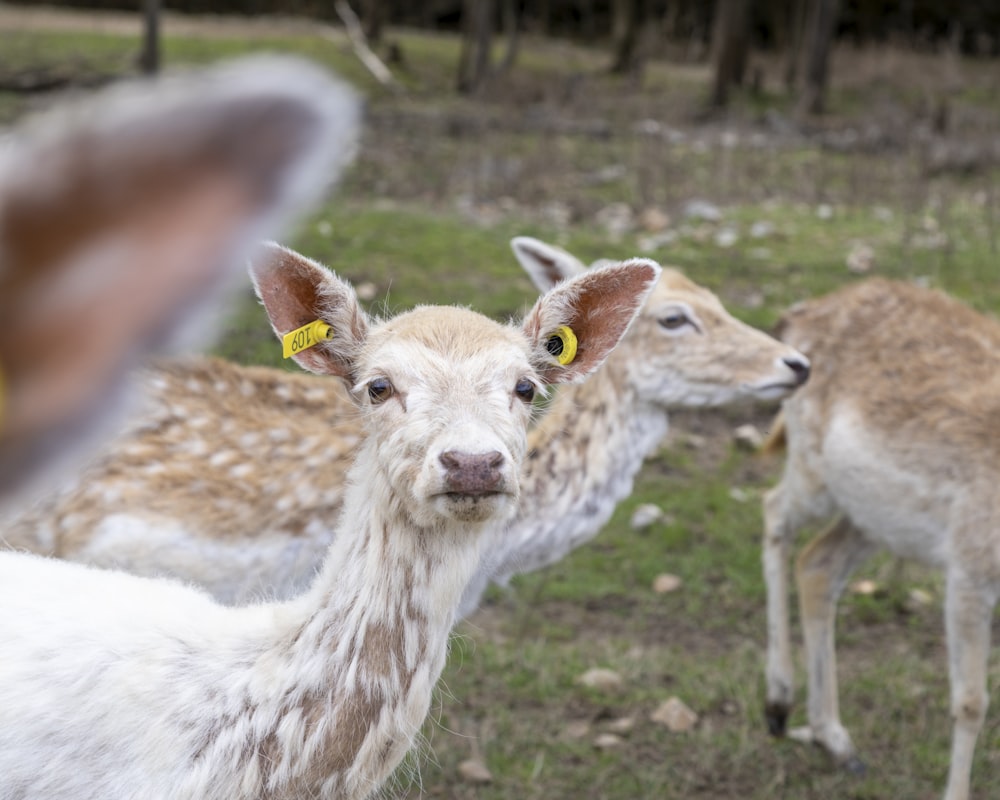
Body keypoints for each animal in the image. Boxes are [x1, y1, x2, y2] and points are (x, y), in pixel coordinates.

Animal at [756, 276, 1000, 800]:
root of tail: (801, 314)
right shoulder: (969, 565)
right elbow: (971, 701)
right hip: (814, 473)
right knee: (774, 512)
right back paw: (778, 705)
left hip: (873, 516)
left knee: (817, 565)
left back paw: (835, 739)